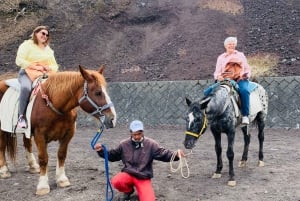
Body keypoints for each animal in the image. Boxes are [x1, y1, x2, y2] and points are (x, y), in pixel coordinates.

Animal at [0, 65, 116, 196]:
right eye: (98, 92)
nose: (112, 119)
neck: (55, 105)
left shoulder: (68, 134)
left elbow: (61, 155)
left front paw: (62, 179)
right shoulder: (40, 135)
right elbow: (43, 158)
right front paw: (43, 186)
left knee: (27, 144)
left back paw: (33, 166)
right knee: (2, 146)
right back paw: (4, 170)